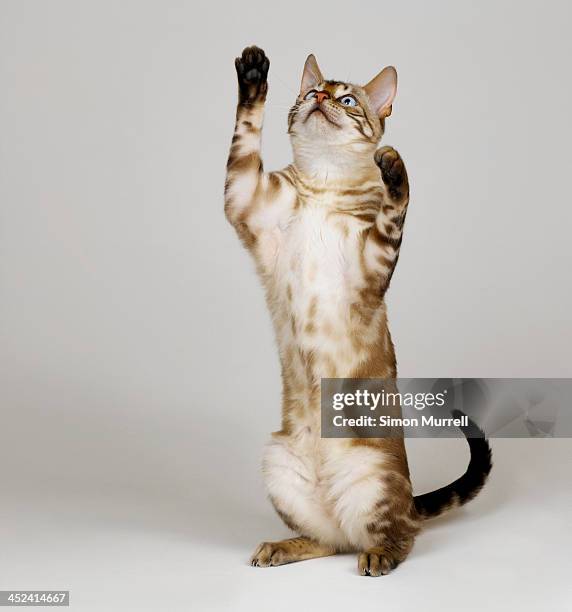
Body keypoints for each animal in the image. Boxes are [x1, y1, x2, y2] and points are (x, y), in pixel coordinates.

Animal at [223, 46, 492, 572]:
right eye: (312, 90)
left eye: (346, 99)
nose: (320, 97)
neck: (325, 184)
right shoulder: (244, 200)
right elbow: (245, 133)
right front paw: (253, 71)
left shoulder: (372, 263)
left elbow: (397, 205)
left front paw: (391, 164)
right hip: (278, 460)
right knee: (329, 539)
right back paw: (280, 547)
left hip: (373, 479)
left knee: (398, 535)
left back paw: (378, 558)